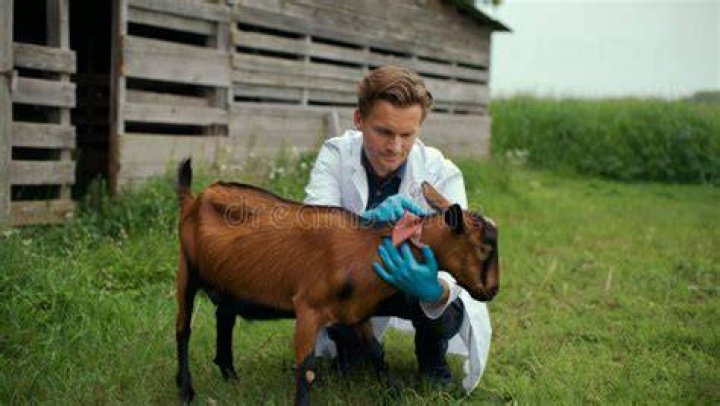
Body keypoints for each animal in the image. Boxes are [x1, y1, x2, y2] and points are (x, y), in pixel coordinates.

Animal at [175, 158, 499, 405]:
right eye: (485, 247)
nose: (492, 290)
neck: (367, 250)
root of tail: (194, 199)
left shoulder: (355, 313)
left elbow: (377, 353)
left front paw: (394, 393)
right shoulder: (308, 308)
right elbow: (307, 370)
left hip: (229, 281)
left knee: (224, 317)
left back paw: (230, 376)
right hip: (186, 272)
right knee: (183, 329)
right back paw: (186, 390)